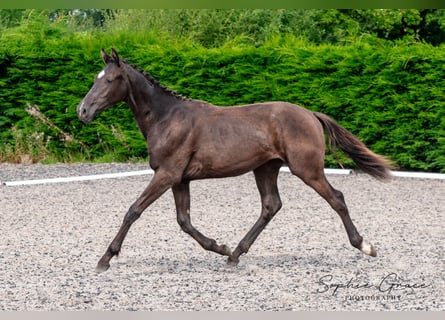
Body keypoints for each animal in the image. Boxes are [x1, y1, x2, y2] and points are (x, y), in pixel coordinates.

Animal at [76, 48, 392, 272]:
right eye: (94, 78)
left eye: (111, 79)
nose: (82, 111)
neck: (167, 118)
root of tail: (311, 115)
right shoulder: (180, 179)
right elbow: (184, 221)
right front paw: (222, 248)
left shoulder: (166, 174)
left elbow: (133, 211)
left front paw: (105, 259)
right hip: (266, 168)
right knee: (271, 205)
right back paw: (236, 254)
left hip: (307, 169)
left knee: (336, 198)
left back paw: (365, 246)